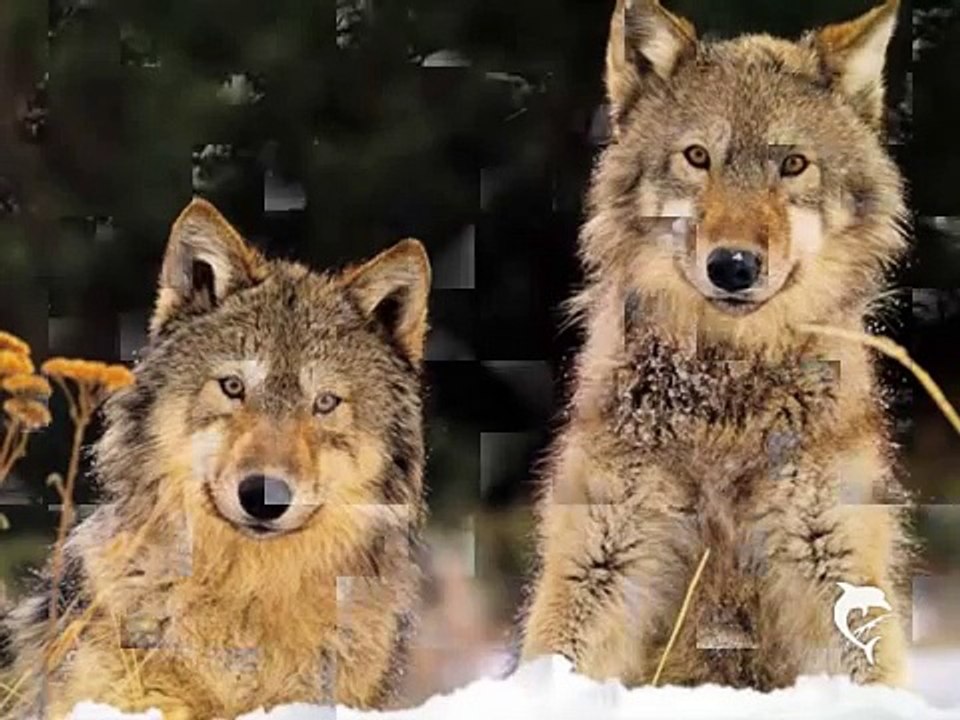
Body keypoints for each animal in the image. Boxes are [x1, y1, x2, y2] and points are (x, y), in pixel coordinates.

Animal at [521, 0, 911, 690]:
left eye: (793, 164)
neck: (726, 401)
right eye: (697, 156)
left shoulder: (830, 563)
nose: (733, 266)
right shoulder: (601, 560)